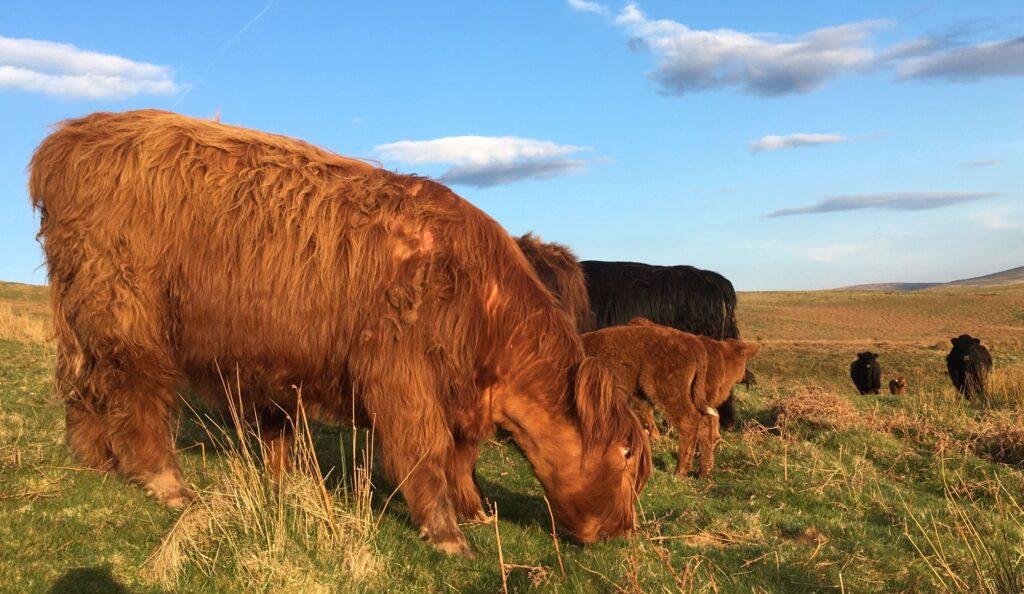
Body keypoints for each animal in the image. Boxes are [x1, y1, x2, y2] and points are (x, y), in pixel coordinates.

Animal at [29, 110, 650, 557]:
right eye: (625, 456)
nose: (623, 531)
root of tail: (75, 137)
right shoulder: (401, 376)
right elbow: (428, 453)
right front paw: (449, 534)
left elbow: (460, 455)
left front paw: (474, 509)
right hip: (127, 312)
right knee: (136, 388)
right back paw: (166, 483)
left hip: (82, 312)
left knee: (83, 384)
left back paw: (94, 460)